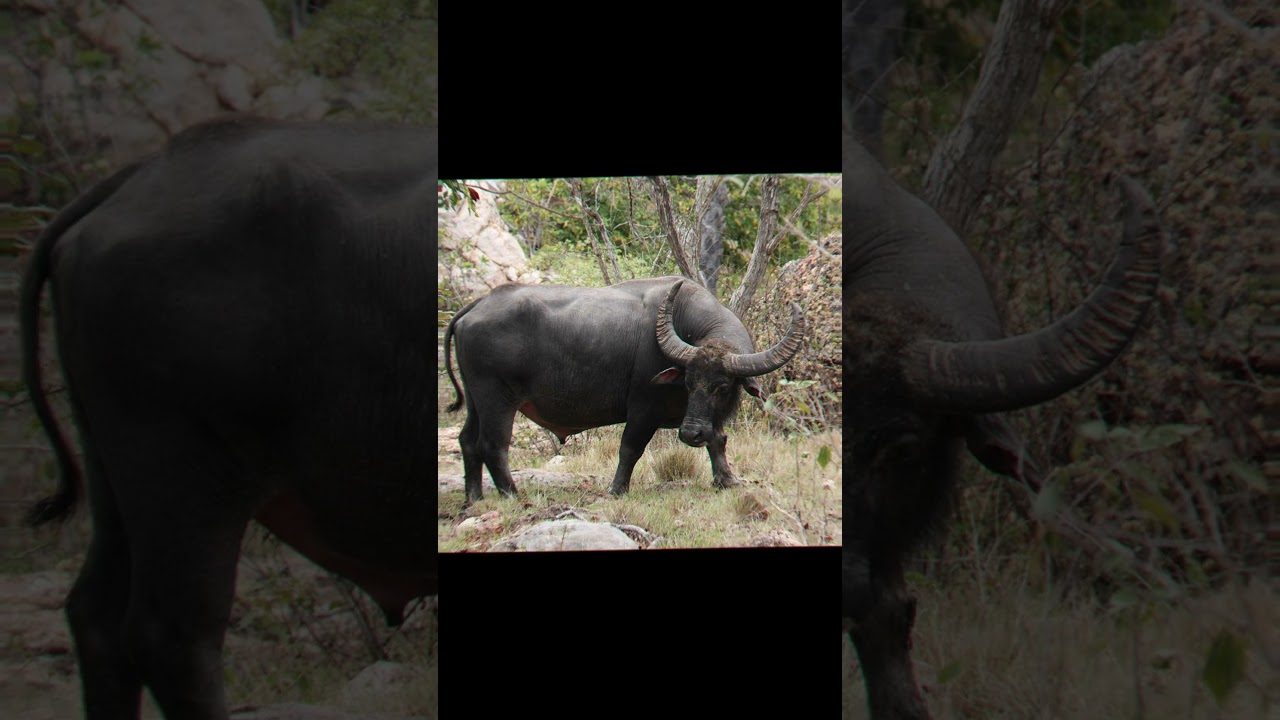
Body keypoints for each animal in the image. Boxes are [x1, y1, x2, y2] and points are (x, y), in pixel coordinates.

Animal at [444, 276, 806, 504]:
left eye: (721, 387)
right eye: (688, 382)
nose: (689, 434)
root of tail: (478, 305)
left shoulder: (708, 417)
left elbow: (718, 440)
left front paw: (727, 480)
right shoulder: (643, 410)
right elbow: (630, 448)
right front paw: (618, 489)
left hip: (476, 400)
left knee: (467, 441)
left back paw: (474, 498)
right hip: (497, 398)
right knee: (492, 445)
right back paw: (512, 496)